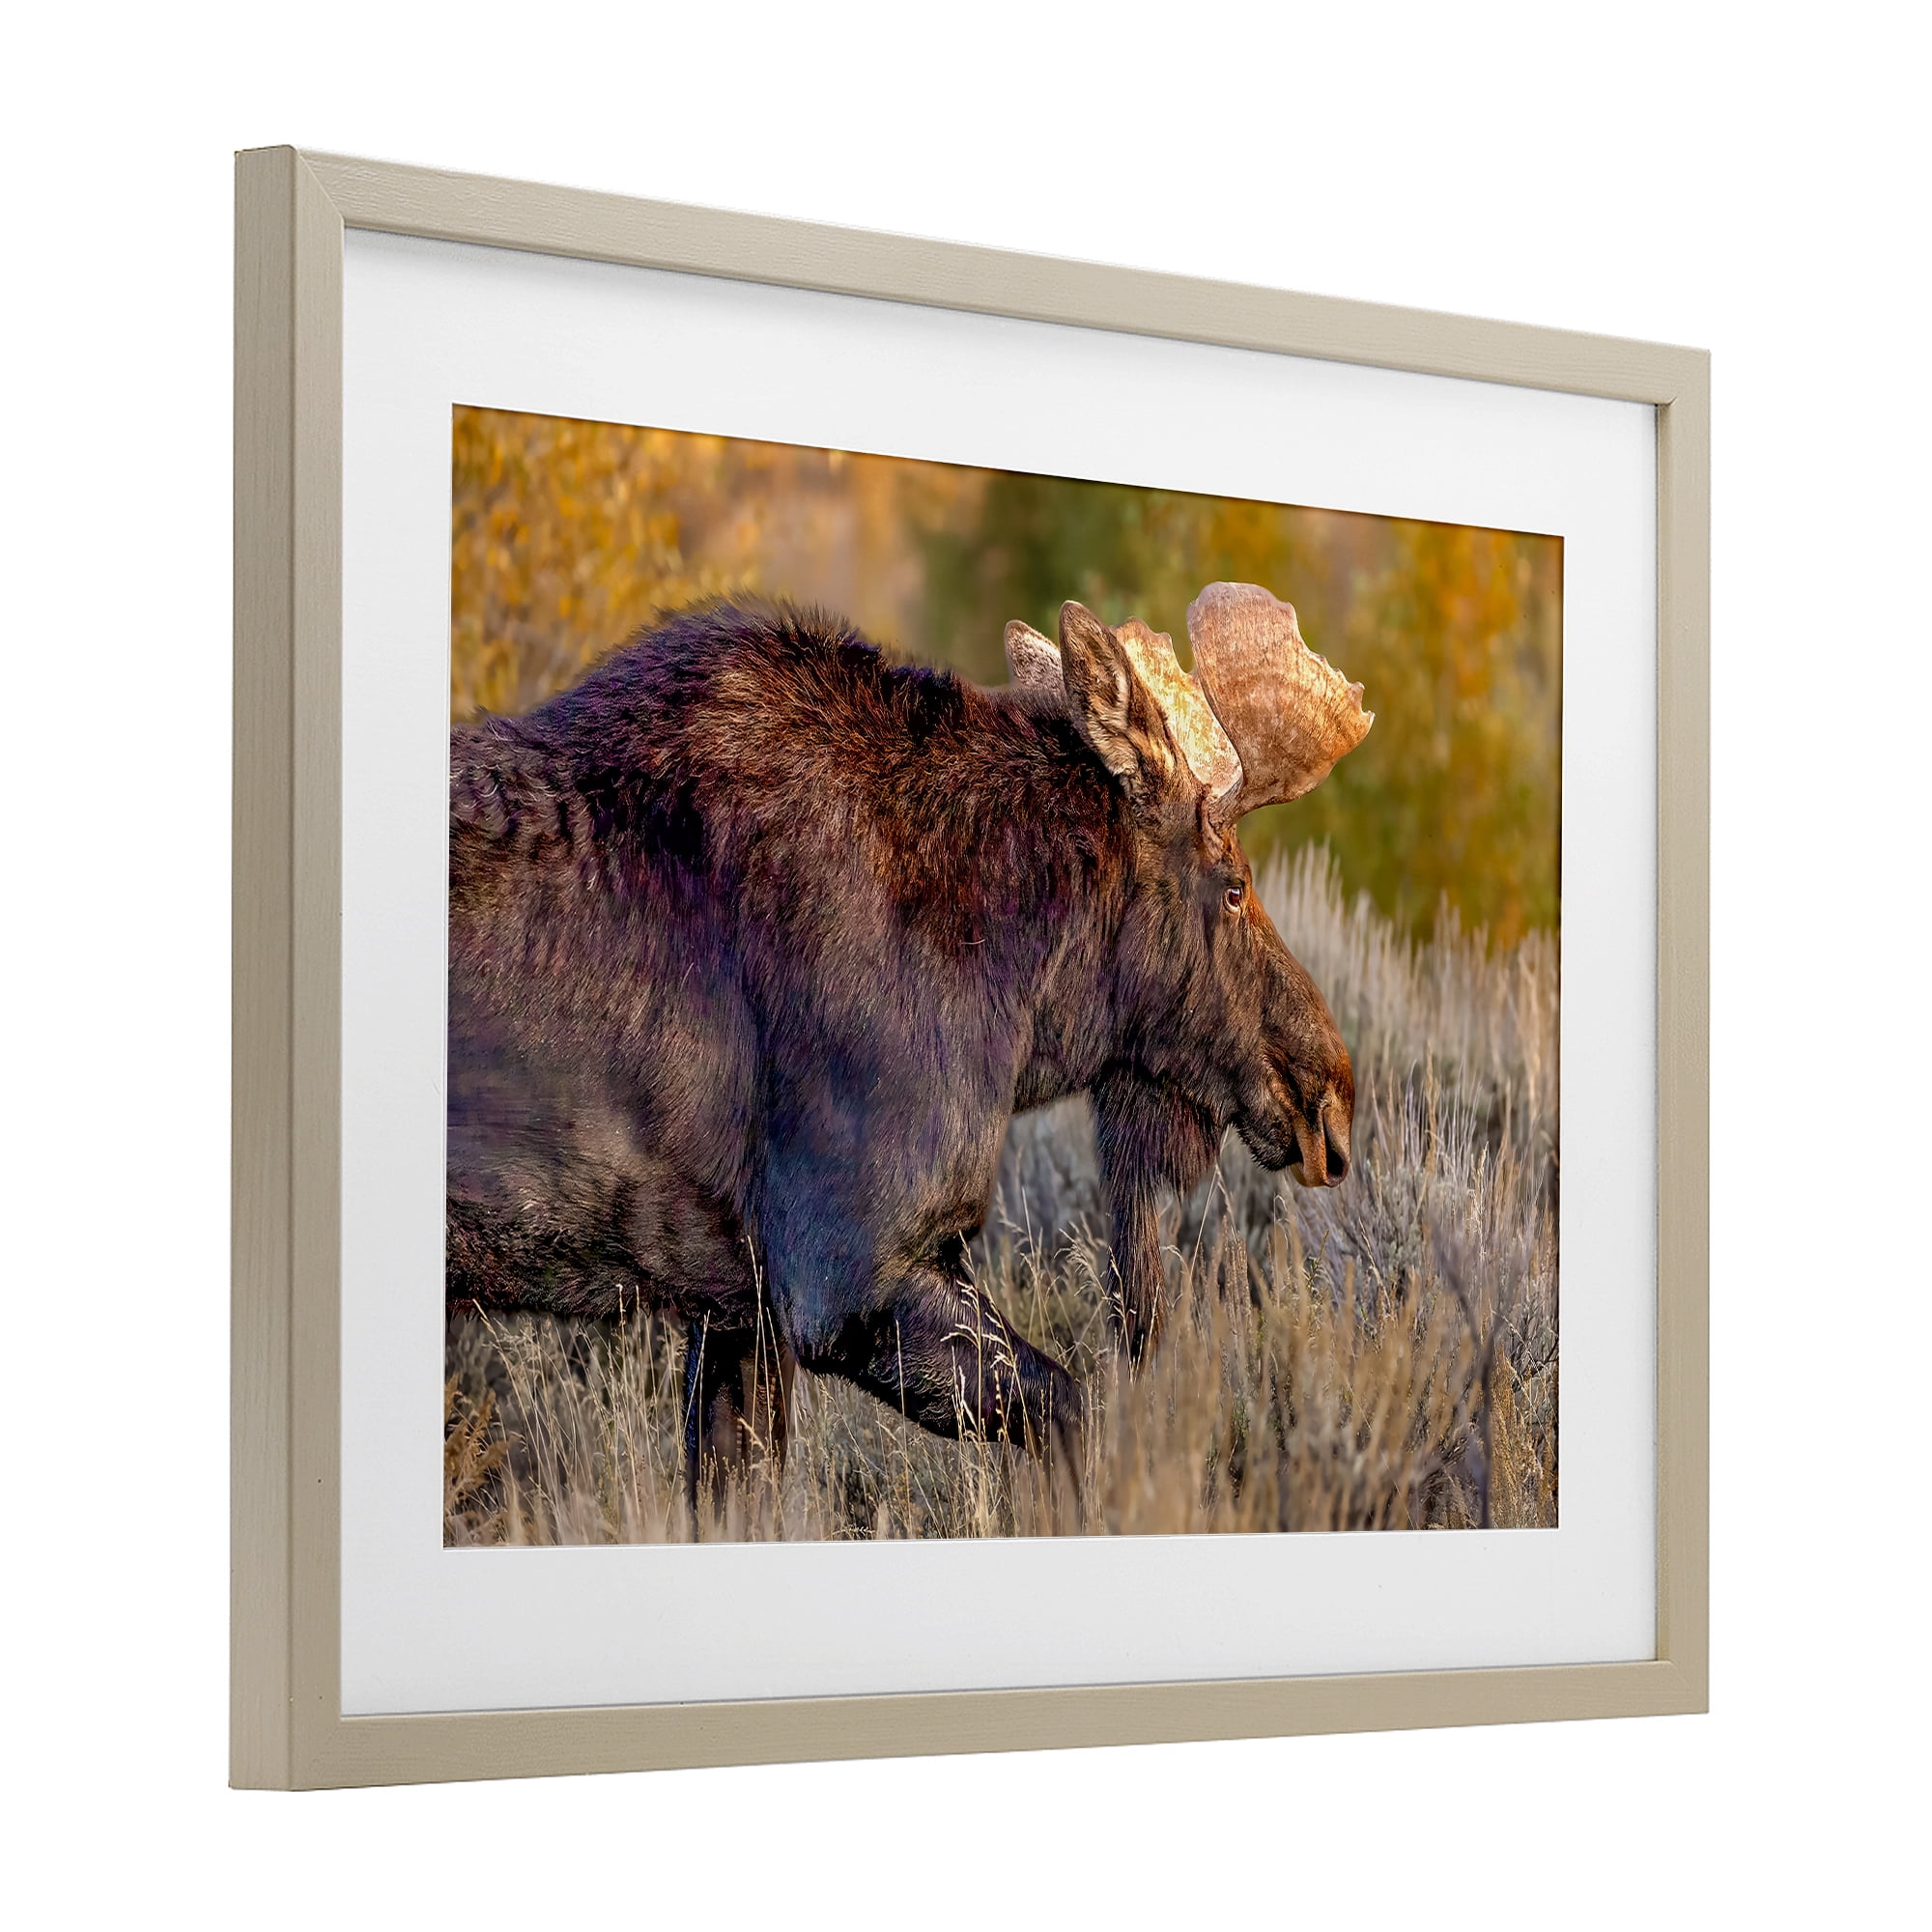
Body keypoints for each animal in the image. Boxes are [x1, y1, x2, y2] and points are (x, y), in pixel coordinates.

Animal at [446, 582, 1372, 1503]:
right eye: (1234, 887)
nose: (1329, 1091)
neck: (1021, 993)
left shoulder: (740, 1307)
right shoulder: (848, 1275)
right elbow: (1081, 1416)